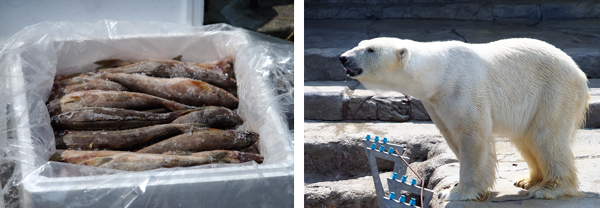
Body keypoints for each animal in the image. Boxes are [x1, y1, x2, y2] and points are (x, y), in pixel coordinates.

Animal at [340, 38, 588, 201]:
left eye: (370, 49)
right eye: (362, 43)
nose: (343, 58)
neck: (439, 72)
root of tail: (580, 73)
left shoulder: (462, 87)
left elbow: (472, 134)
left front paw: (455, 193)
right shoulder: (436, 102)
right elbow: (452, 136)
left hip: (554, 92)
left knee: (545, 136)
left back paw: (548, 189)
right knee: (527, 139)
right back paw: (528, 180)